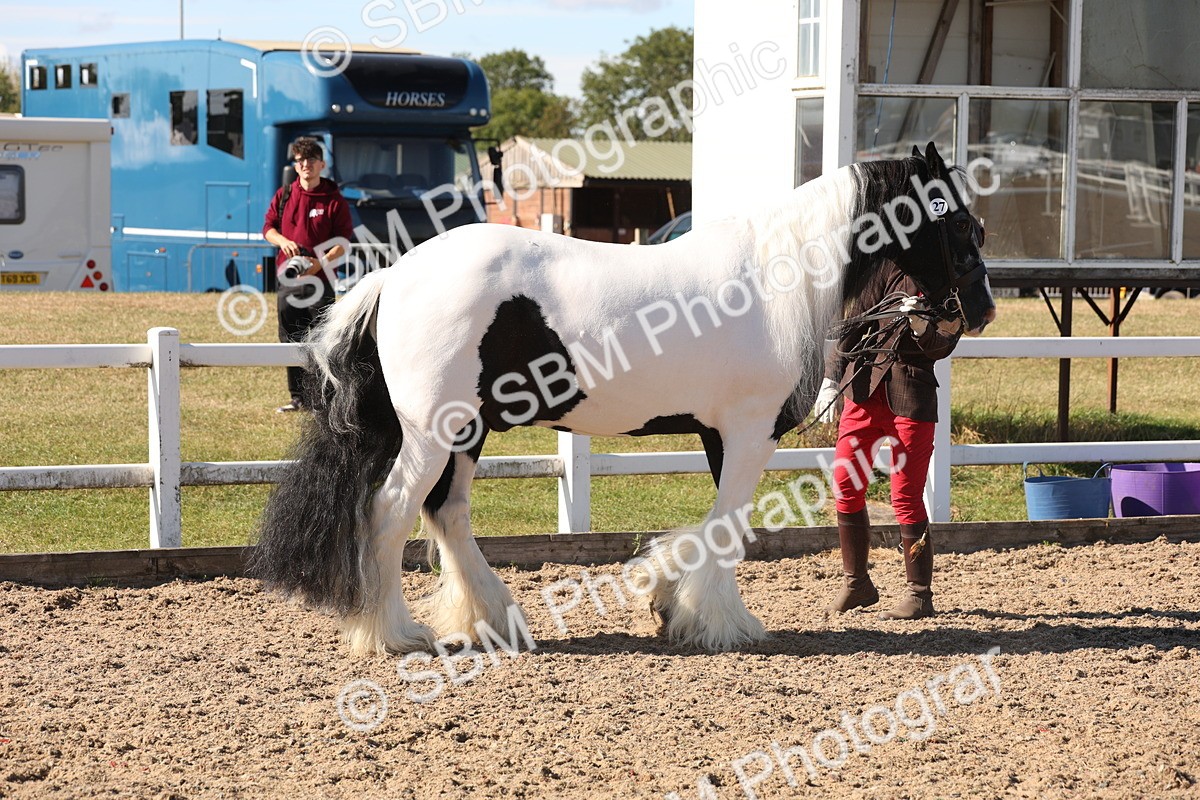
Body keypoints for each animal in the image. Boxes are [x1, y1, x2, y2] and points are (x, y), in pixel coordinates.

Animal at [248, 141, 996, 655]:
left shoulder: (718, 436)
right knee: (392, 512)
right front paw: (719, 621)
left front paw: (669, 597)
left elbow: (715, 526)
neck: (775, 279)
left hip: (466, 432)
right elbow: (728, 525)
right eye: (960, 225)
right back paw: (393, 634)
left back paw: (495, 618)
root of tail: (396, 276)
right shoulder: (749, 433)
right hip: (434, 431)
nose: (981, 309)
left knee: (447, 514)